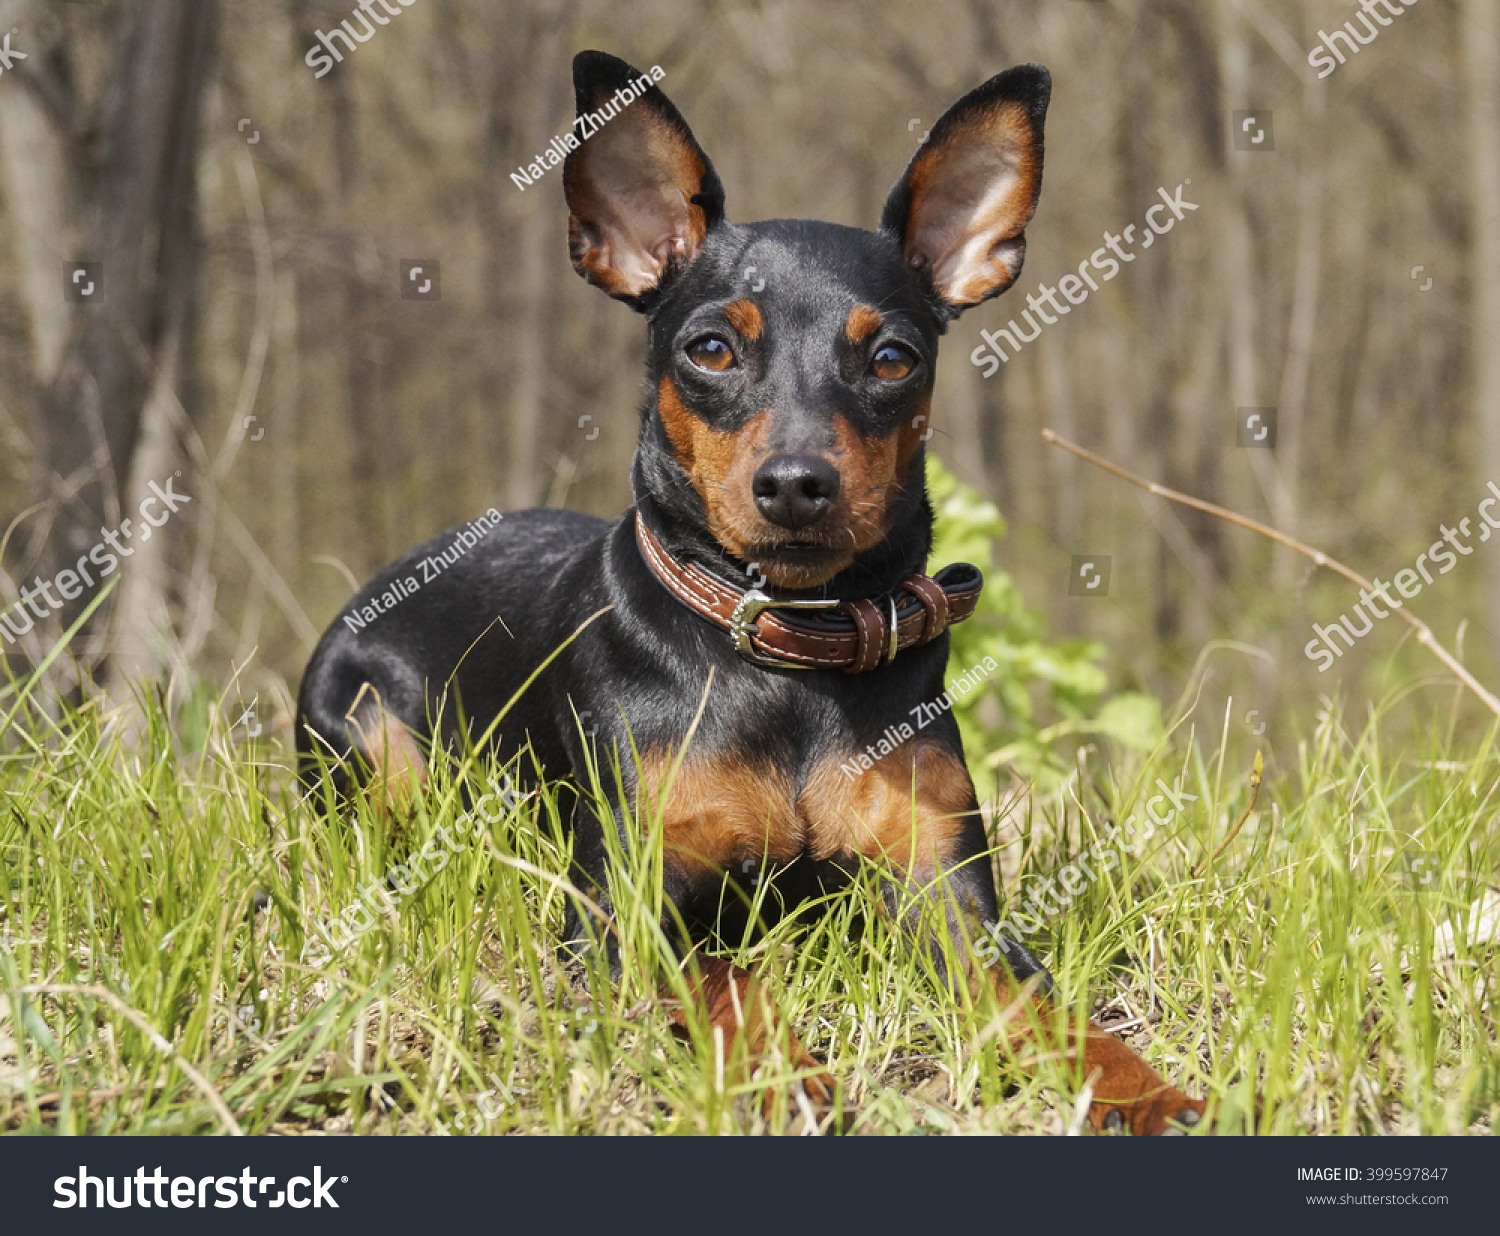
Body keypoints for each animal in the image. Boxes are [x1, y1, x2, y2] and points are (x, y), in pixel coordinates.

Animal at [301, 48, 1206, 1134]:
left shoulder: (948, 897)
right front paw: (787, 1075)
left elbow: (1046, 1006)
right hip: (373, 755)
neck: (787, 648)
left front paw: (1145, 1091)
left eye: (893, 357)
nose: (796, 485)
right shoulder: (622, 910)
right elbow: (724, 976)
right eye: (710, 349)